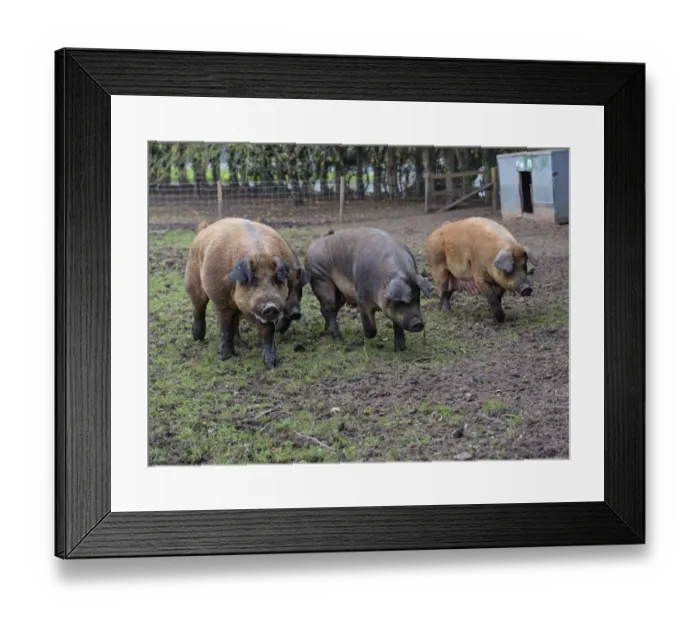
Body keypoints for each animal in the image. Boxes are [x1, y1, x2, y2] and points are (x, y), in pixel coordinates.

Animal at [184, 217, 307, 369]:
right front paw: (225, 358)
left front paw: (271, 364)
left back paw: (240, 343)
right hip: (193, 280)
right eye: (253, 281)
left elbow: (267, 334)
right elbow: (225, 329)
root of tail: (203, 230)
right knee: (199, 308)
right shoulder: (222, 302)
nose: (270, 306)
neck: (260, 254)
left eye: (275, 279)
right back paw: (198, 338)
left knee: (235, 321)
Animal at [304, 228, 433, 351]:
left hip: (339, 294)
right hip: (320, 279)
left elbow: (397, 325)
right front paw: (365, 337)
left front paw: (401, 349)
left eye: (417, 296)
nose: (417, 323)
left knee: (327, 310)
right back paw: (338, 338)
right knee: (328, 310)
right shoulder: (362, 297)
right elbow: (370, 325)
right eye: (398, 301)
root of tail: (313, 244)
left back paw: (326, 333)